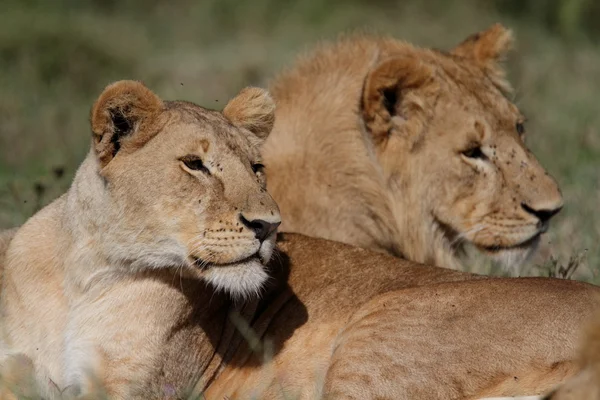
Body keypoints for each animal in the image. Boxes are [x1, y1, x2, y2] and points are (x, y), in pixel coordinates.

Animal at [2, 81, 596, 400]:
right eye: (195, 165)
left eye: (256, 167)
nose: (269, 225)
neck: (88, 270)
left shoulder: (137, 387)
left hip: (380, 335)